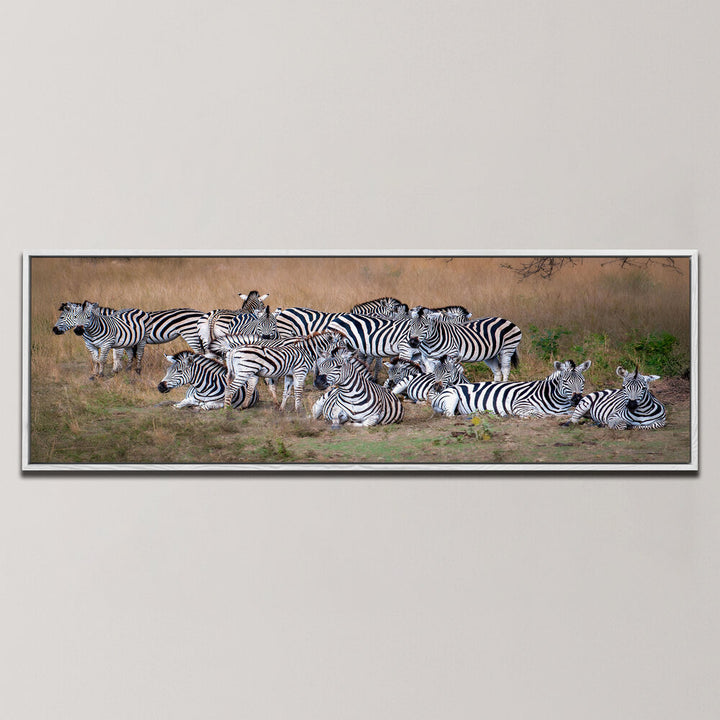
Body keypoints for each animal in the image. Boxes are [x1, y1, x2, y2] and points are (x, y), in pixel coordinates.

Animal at [430, 359, 592, 418]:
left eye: (582, 381)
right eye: (565, 381)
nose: (577, 398)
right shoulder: (520, 405)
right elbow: (538, 413)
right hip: (452, 397)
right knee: (449, 415)